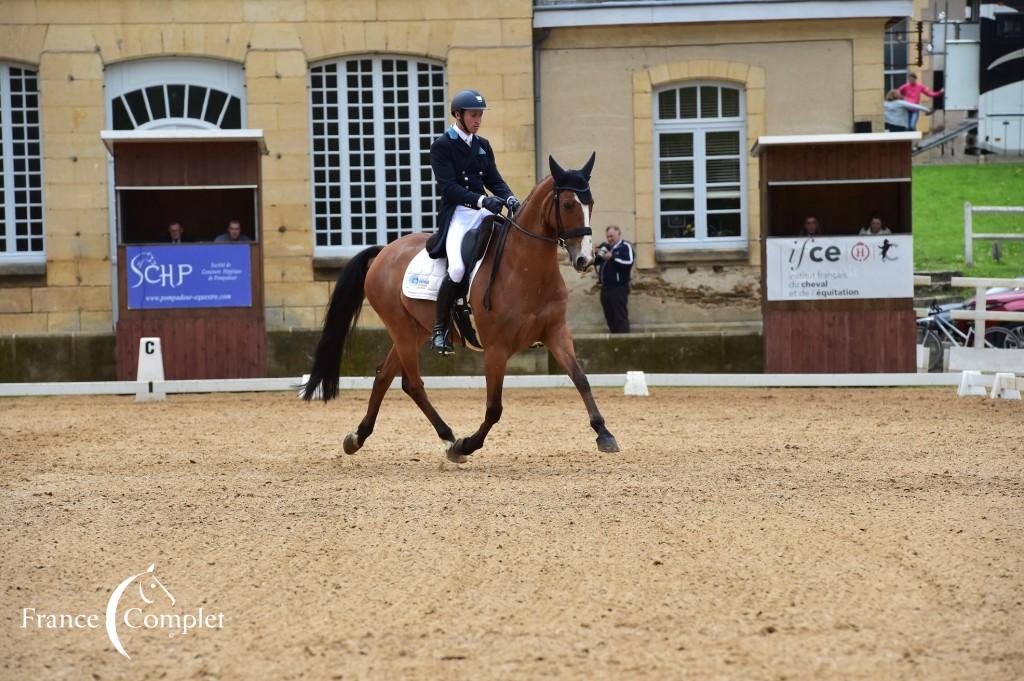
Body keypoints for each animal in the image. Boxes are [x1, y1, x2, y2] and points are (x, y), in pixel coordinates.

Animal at [299, 154, 618, 462]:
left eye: (590, 203)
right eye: (567, 204)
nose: (585, 260)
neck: (526, 269)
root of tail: (384, 251)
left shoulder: (556, 333)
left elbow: (581, 379)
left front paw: (604, 433)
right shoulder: (497, 349)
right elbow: (494, 407)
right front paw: (467, 445)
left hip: (416, 330)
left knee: (385, 376)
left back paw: (359, 437)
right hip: (401, 329)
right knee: (413, 383)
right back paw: (449, 439)